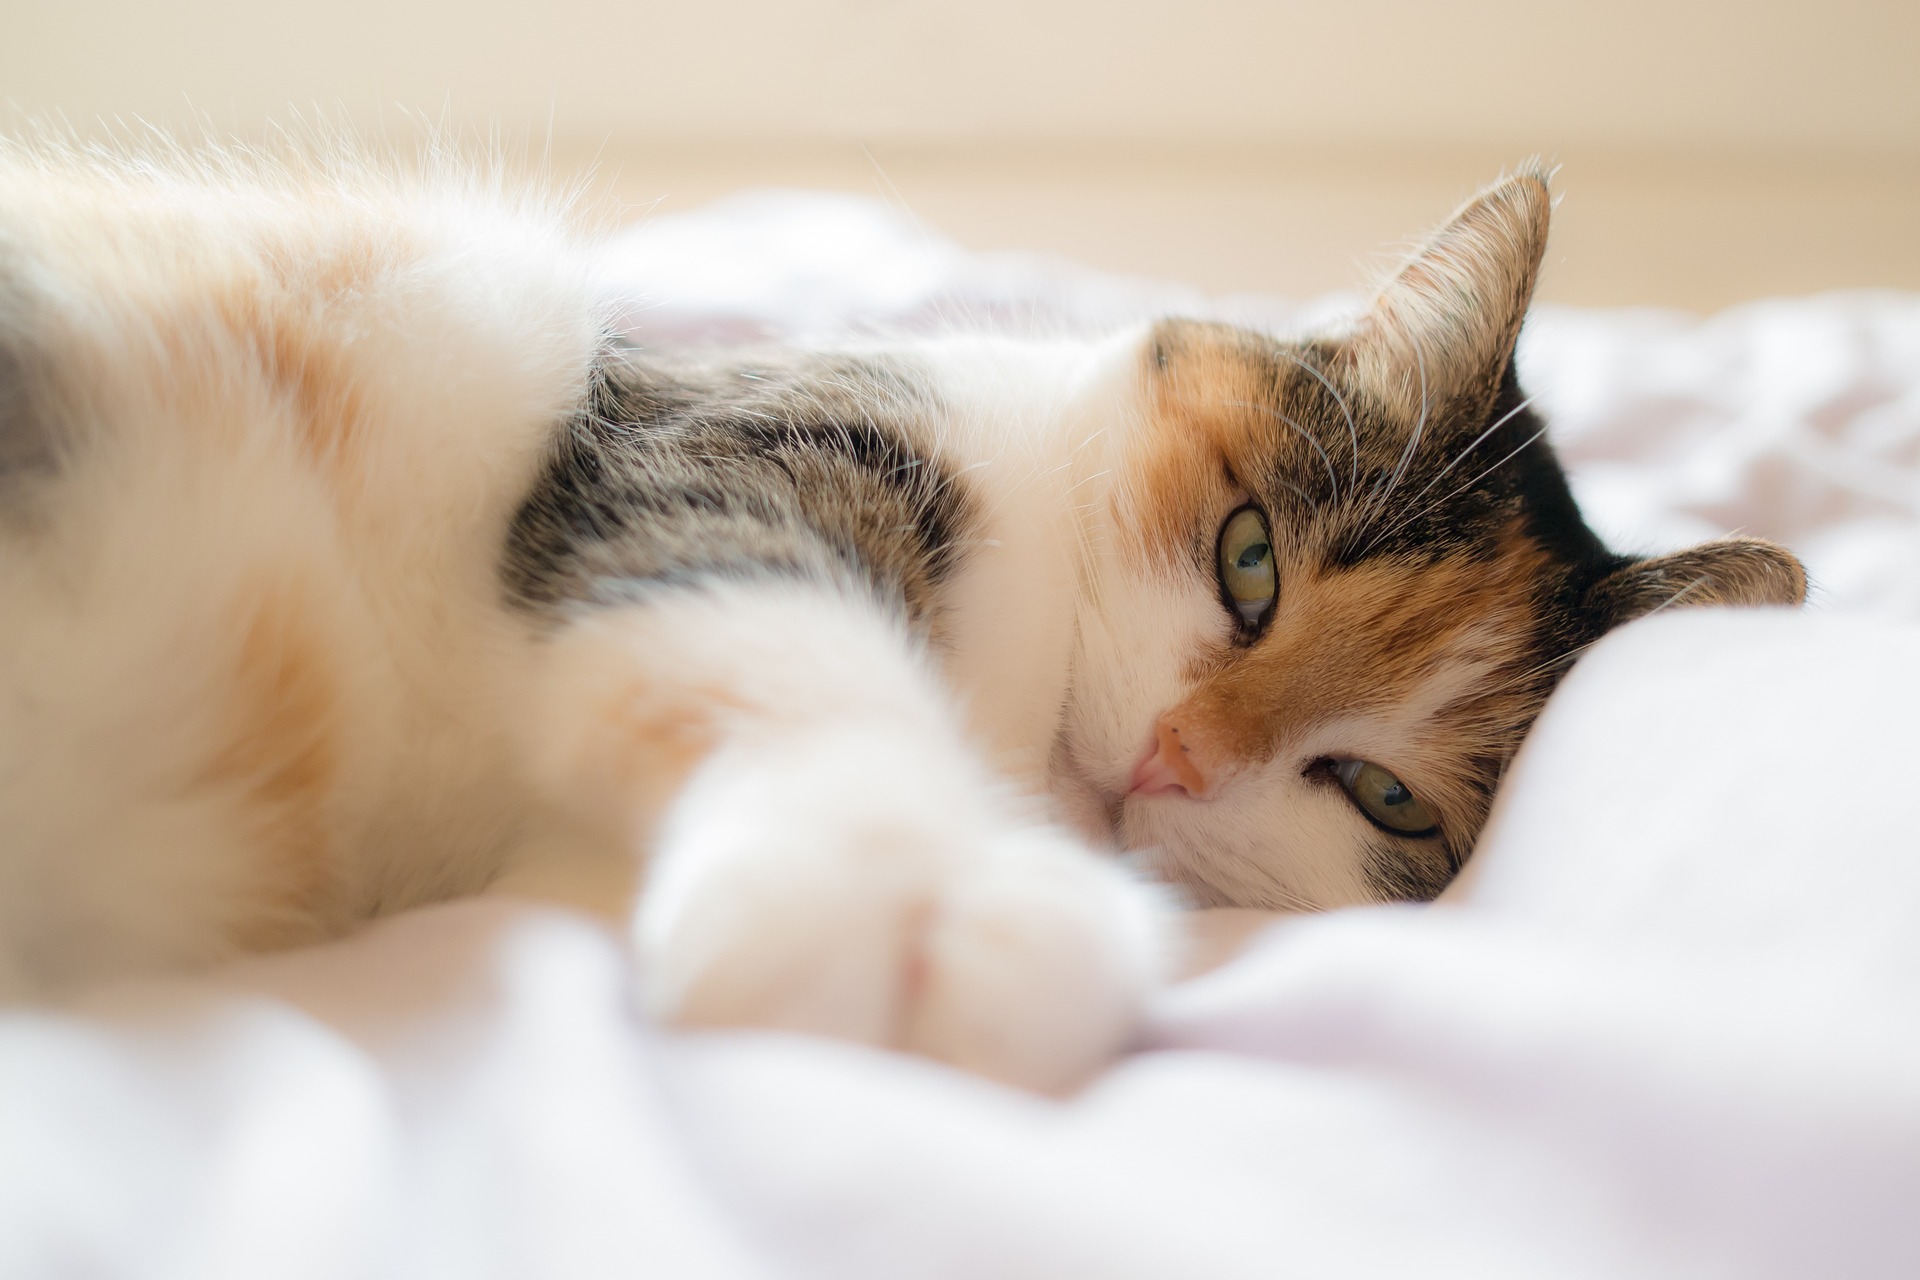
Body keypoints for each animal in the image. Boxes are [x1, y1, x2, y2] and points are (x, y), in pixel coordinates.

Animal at [0, 144, 1804, 1097]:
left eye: (1384, 798)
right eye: (1249, 565)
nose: (1170, 759)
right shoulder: (732, 446)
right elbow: (795, 646)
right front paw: (915, 888)